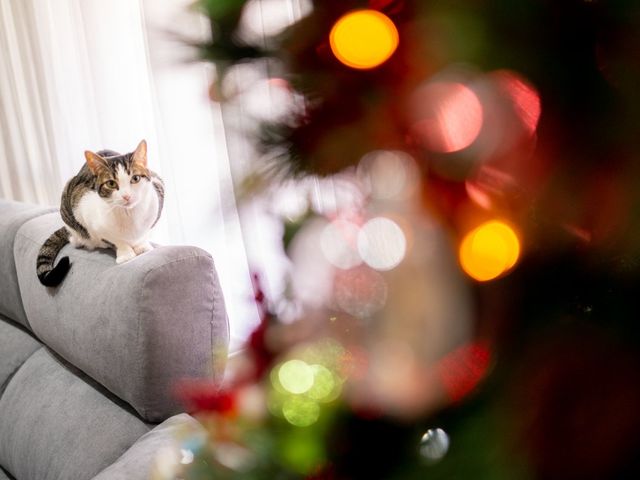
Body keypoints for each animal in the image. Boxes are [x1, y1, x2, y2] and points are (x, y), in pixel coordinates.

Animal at [37, 141, 165, 286]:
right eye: (111, 183)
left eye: (135, 178)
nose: (126, 196)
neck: (128, 215)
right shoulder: (84, 211)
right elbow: (113, 239)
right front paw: (125, 253)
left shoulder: (157, 191)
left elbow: (145, 233)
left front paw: (142, 246)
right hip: (67, 197)